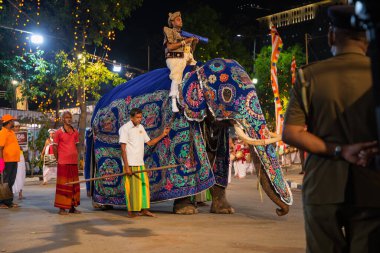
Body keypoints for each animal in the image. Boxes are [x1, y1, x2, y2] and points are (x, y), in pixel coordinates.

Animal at [85, 57, 294, 215]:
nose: (279, 211)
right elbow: (186, 159)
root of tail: (95, 110)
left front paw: (225, 211)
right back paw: (102, 205)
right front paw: (186, 210)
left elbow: (215, 159)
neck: (197, 69)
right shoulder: (180, 118)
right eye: (227, 94)